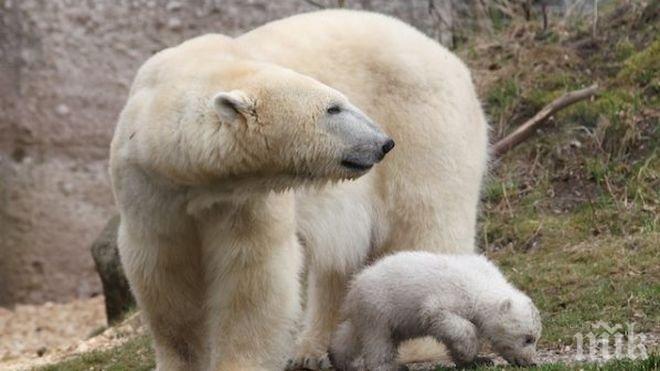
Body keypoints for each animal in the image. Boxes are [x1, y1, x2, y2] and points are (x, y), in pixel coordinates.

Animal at [111, 8, 488, 371]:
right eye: (333, 108)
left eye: (340, 101)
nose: (383, 143)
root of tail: (451, 59)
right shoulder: (150, 190)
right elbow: (166, 275)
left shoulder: (247, 199)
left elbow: (252, 272)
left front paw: (239, 364)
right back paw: (317, 350)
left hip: (424, 127)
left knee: (424, 222)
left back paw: (419, 345)